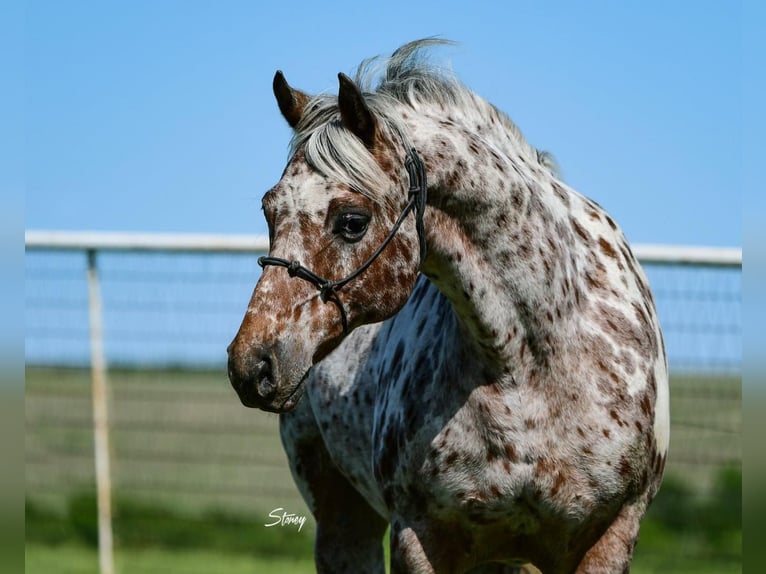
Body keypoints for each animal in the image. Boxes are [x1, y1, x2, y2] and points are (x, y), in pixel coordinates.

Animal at [228, 38, 672, 572]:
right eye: (268, 211)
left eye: (352, 221)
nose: (252, 365)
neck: (533, 361)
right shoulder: (420, 537)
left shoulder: (610, 534)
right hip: (343, 520)